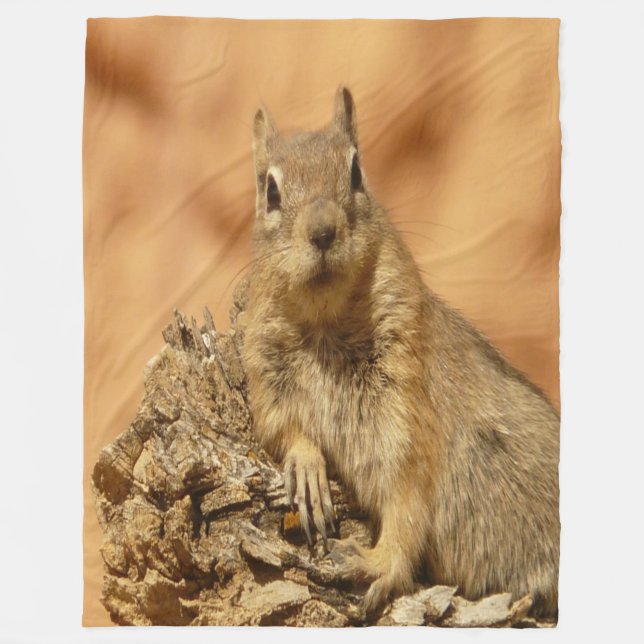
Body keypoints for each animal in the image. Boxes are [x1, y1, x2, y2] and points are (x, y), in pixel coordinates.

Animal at [241, 86, 560, 617]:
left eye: (356, 172)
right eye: (270, 191)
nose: (323, 231)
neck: (326, 326)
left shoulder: (408, 409)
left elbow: (407, 500)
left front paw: (376, 563)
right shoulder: (266, 380)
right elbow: (283, 430)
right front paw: (307, 467)